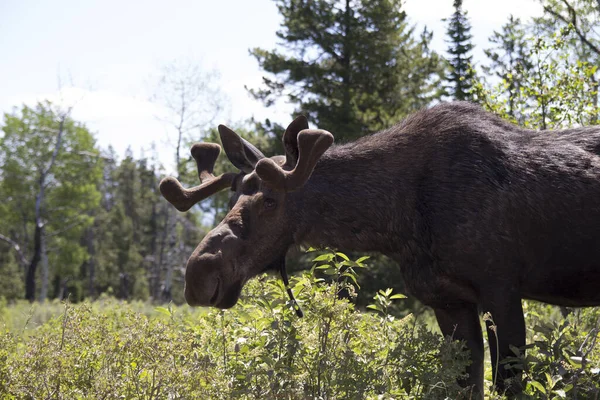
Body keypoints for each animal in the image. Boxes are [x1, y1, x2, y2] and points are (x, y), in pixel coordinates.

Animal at [158, 102, 600, 396]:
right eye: (233, 197)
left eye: (270, 201)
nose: (199, 274)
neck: (397, 224)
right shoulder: (448, 301)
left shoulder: (502, 290)